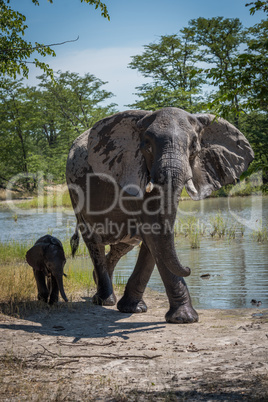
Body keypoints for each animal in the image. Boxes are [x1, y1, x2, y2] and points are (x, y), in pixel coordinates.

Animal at [66, 107, 254, 324]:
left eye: (193, 146)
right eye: (147, 144)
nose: (189, 268)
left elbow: (154, 237)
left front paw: (135, 309)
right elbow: (154, 234)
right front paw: (185, 318)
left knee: (123, 245)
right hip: (75, 193)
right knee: (94, 241)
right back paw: (104, 300)